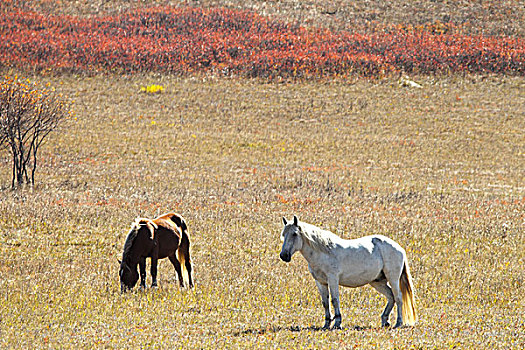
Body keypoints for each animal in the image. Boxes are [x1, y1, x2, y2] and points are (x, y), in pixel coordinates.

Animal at [280, 215, 416, 330]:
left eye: (294, 234)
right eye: (283, 234)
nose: (284, 256)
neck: (323, 252)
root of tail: (399, 248)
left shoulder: (333, 279)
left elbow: (335, 300)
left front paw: (337, 323)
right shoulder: (320, 282)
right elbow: (325, 302)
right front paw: (326, 324)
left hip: (393, 278)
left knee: (398, 297)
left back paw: (398, 323)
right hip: (377, 282)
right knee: (391, 296)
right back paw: (385, 321)